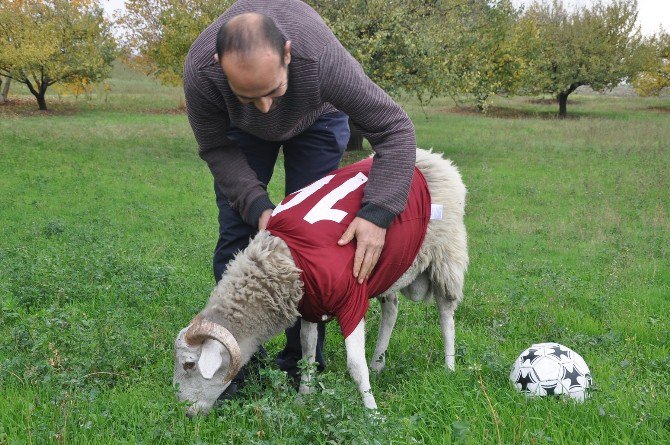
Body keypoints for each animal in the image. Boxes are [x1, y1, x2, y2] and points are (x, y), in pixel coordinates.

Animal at [173, 149, 468, 416]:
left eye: (189, 364)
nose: (186, 413)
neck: (287, 260)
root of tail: (434, 157)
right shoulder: (310, 307)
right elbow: (307, 353)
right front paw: (304, 398)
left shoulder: (352, 302)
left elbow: (355, 365)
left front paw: (372, 414)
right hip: (392, 263)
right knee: (391, 309)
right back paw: (378, 363)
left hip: (446, 256)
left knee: (445, 313)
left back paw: (449, 366)